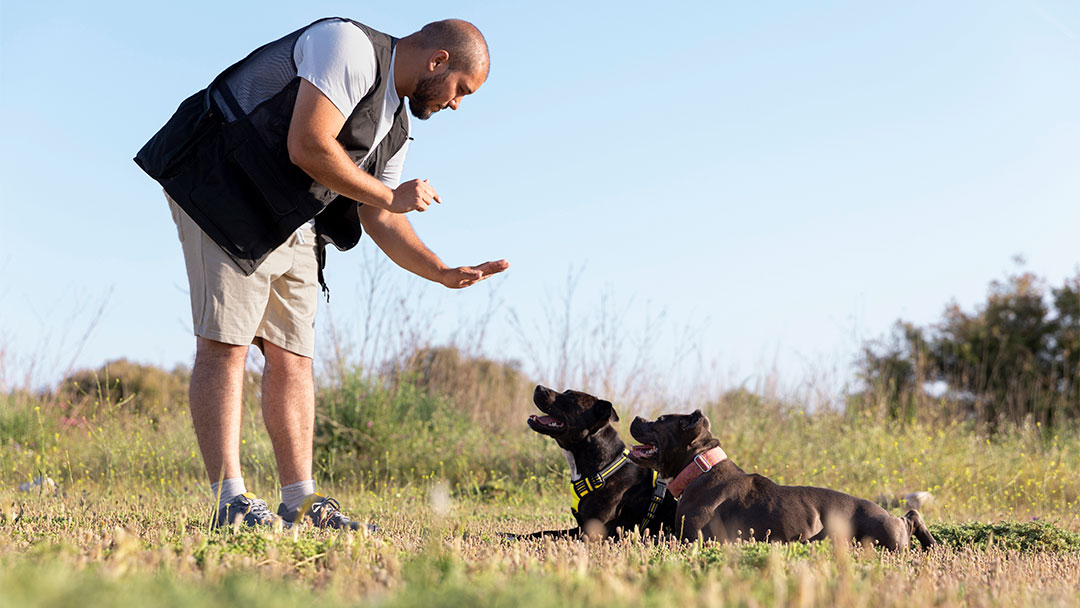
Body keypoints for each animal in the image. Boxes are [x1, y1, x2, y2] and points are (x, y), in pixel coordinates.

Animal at [516, 388, 673, 539]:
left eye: (571, 398)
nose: (538, 387)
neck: (603, 469)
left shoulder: (592, 533)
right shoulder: (580, 527)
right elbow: (545, 533)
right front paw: (512, 535)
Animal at [626, 412, 937, 548]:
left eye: (659, 420)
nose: (637, 416)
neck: (700, 466)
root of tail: (890, 517)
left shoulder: (692, 538)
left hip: (878, 533)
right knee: (913, 514)